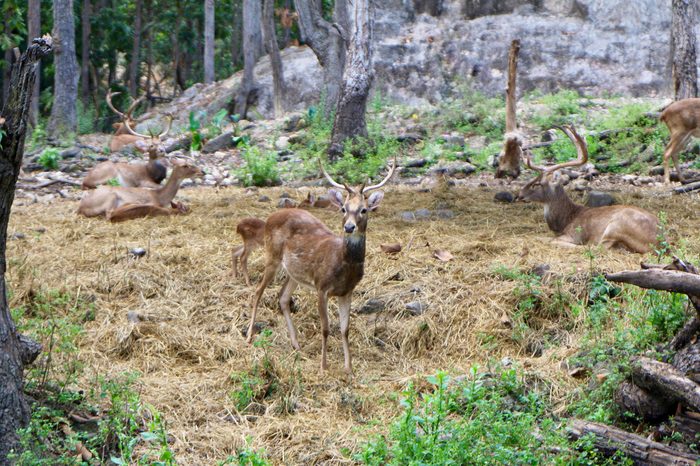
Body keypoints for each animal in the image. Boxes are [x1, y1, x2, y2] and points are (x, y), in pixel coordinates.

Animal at [246, 158, 396, 376]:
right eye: (343, 208)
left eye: (364, 209)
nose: (349, 227)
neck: (342, 264)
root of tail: (270, 218)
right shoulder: (321, 286)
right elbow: (325, 328)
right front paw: (323, 366)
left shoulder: (347, 291)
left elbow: (345, 329)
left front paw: (349, 369)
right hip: (272, 256)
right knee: (258, 291)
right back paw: (249, 336)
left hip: (294, 273)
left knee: (282, 297)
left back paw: (296, 344)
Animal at [516, 125, 660, 253]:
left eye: (538, 184)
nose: (519, 195)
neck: (566, 220)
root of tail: (660, 242)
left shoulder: (574, 234)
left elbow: (552, 240)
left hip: (617, 225)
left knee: (598, 248)